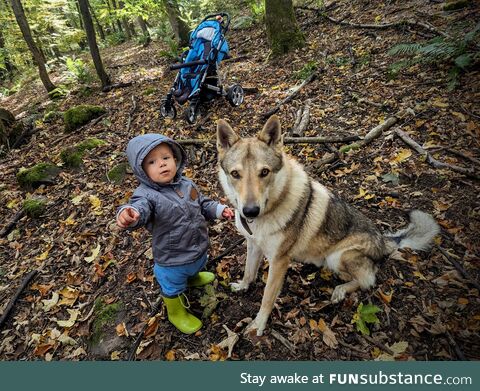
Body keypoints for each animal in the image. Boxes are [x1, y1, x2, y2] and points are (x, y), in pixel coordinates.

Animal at [216, 114, 440, 336]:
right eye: (235, 174)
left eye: (264, 172)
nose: (250, 211)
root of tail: (384, 240)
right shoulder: (253, 244)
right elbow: (248, 271)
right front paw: (243, 286)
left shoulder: (279, 261)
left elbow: (267, 297)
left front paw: (258, 325)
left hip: (338, 256)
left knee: (367, 280)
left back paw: (340, 291)